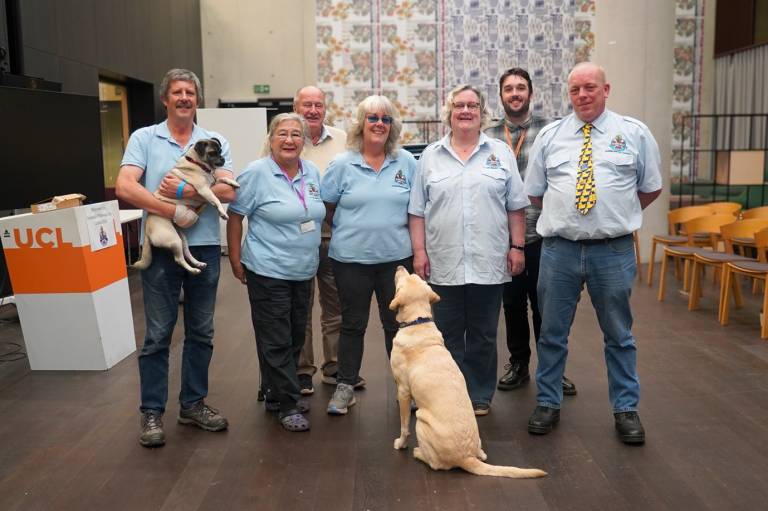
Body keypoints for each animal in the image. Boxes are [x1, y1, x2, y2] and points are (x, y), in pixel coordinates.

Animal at [134, 139, 238, 276]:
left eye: (220, 151)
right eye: (212, 153)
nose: (223, 159)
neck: (199, 164)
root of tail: (147, 230)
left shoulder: (213, 183)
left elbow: (222, 178)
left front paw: (233, 182)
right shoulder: (204, 190)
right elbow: (216, 199)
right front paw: (222, 212)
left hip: (181, 238)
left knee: (187, 253)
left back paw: (197, 263)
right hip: (174, 240)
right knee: (179, 259)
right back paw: (193, 270)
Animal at [390, 268, 544, 480]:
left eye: (402, 282)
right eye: (415, 277)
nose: (399, 267)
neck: (418, 322)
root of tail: (466, 457)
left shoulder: (403, 391)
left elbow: (404, 425)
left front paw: (400, 443)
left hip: (421, 421)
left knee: (436, 464)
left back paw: (418, 452)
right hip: (474, 444)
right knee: (482, 454)